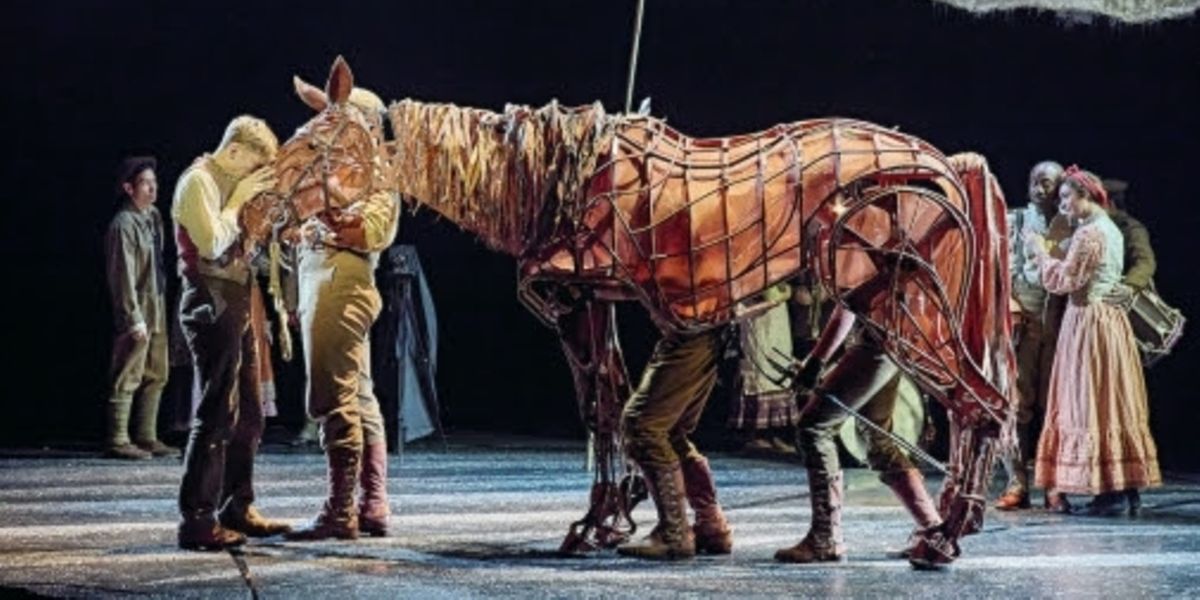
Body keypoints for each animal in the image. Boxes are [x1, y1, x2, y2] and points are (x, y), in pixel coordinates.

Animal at [261, 56, 1016, 568]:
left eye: (316, 145)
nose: (265, 215)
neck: (542, 182)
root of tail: (946, 162)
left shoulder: (572, 300)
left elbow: (601, 410)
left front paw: (598, 525)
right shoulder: (600, 302)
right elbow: (617, 404)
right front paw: (627, 516)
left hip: (904, 303)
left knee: (981, 405)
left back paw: (944, 538)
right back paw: (925, 532)